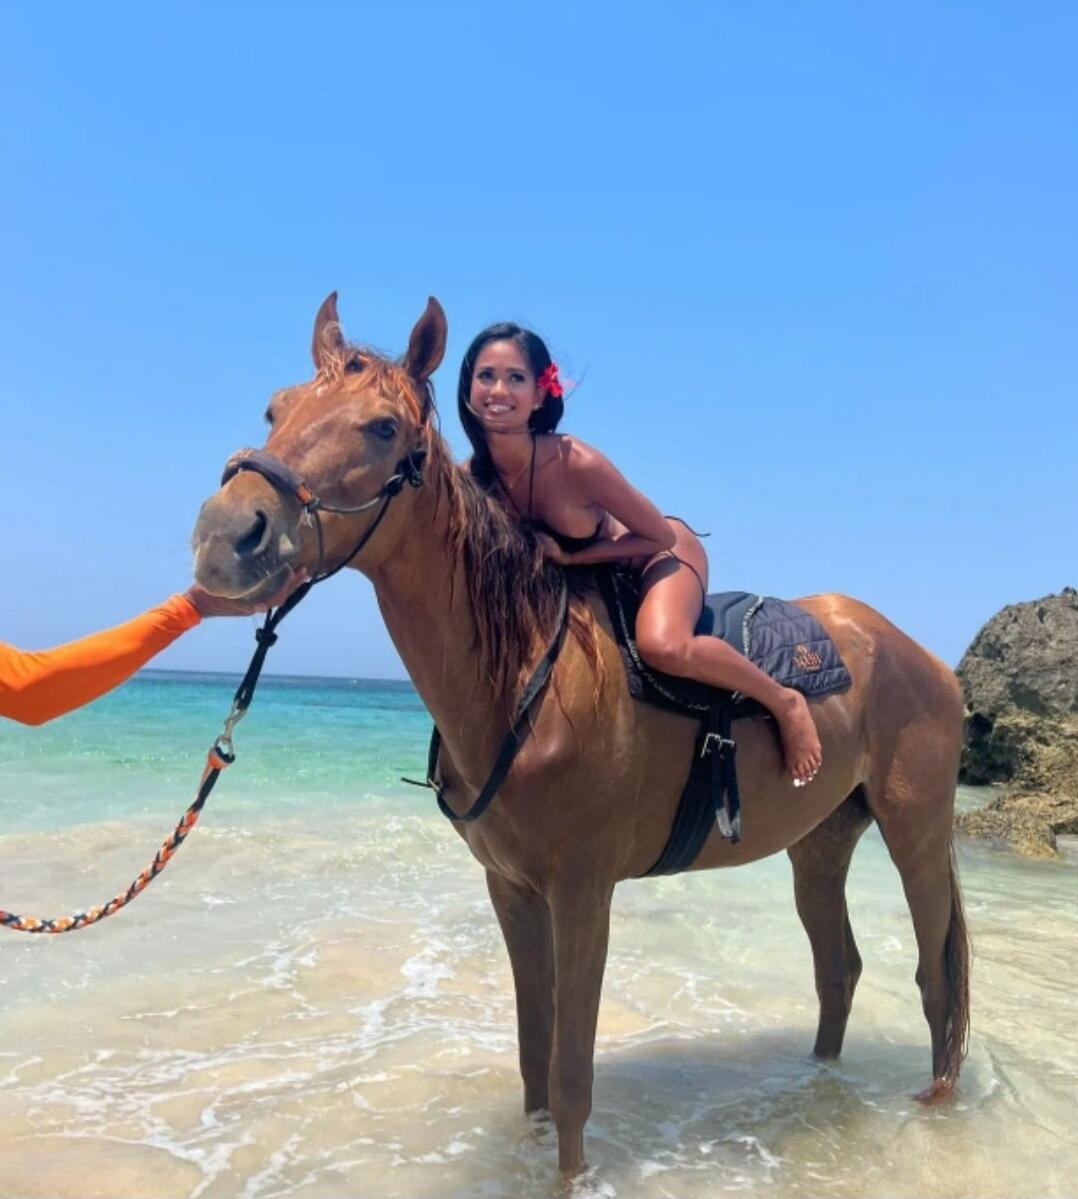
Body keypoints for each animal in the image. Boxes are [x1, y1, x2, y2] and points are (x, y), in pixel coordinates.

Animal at [190, 294, 970, 1182]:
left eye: (383, 428)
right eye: (275, 409)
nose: (226, 535)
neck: (530, 672)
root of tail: (918, 654)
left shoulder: (583, 890)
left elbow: (569, 1072)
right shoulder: (513, 889)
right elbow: (535, 1055)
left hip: (915, 831)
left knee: (934, 976)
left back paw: (934, 1104)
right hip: (821, 842)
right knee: (838, 968)